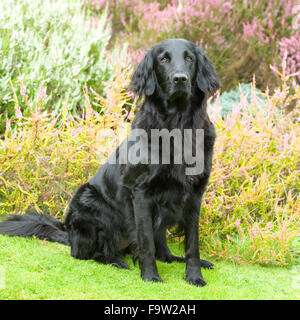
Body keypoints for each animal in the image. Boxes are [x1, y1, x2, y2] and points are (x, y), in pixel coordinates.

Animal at [0, 38, 220, 286]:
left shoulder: (194, 194)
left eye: (189, 58)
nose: (180, 79)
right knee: (88, 253)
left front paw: (194, 275)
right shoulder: (141, 194)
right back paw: (116, 260)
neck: (178, 126)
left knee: (163, 251)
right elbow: (145, 243)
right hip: (87, 203)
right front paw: (150, 275)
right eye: (163, 59)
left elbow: (192, 244)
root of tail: (69, 233)